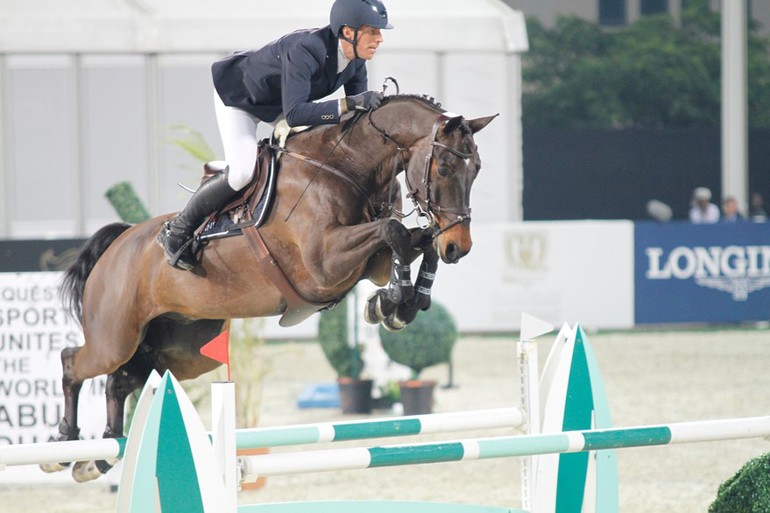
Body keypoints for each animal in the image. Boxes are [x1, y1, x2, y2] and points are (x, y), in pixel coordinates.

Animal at [45, 95, 496, 480]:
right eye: (443, 168)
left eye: (476, 170)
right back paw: (63, 443)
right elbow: (395, 231)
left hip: (183, 351)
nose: (460, 247)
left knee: (120, 382)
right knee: (73, 362)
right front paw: (393, 304)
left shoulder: (374, 264)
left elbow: (416, 239)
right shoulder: (323, 263)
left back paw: (99, 457)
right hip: (115, 338)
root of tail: (120, 241)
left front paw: (399, 303)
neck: (347, 167)